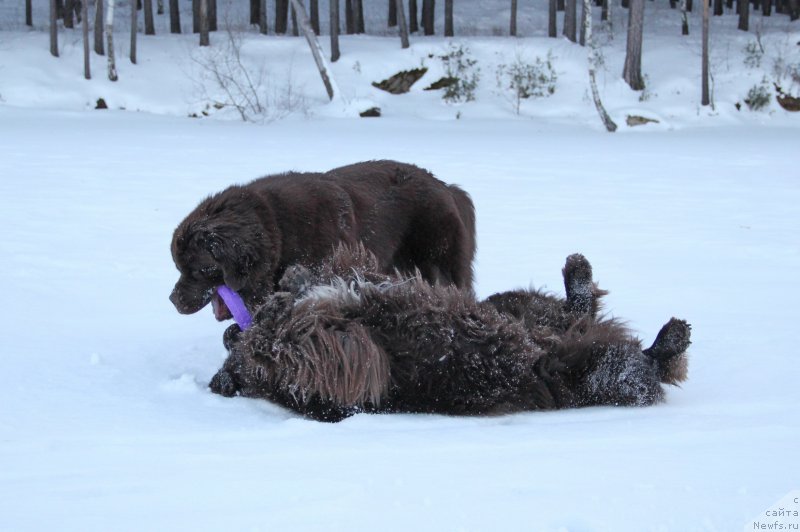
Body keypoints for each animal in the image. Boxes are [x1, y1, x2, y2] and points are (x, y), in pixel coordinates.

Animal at [209, 246, 692, 424]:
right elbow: (297, 343)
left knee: (579, 307)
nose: (231, 332)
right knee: (641, 368)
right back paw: (672, 336)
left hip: (513, 304)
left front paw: (291, 287)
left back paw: (577, 272)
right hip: (582, 370)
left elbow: (321, 281)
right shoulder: (344, 364)